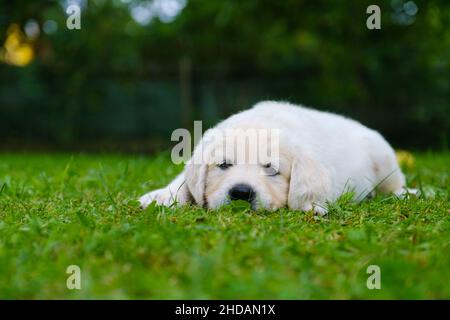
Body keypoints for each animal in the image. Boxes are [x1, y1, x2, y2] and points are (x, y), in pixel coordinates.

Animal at [139, 100, 416, 215]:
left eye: (271, 169)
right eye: (223, 165)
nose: (241, 193)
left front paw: (311, 205)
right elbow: (183, 180)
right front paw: (162, 195)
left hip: (384, 157)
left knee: (395, 183)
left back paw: (406, 194)